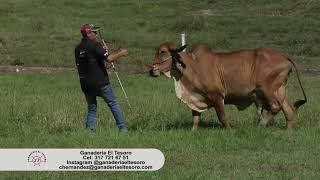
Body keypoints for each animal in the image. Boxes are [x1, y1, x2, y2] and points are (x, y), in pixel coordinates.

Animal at [152, 41, 308, 129]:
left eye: (163, 52)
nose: (152, 69)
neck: (192, 66)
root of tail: (283, 56)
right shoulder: (196, 98)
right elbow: (195, 119)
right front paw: (192, 132)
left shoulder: (217, 96)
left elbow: (222, 117)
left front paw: (230, 130)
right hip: (280, 90)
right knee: (289, 110)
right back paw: (288, 131)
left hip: (266, 89)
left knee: (275, 107)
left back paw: (260, 125)